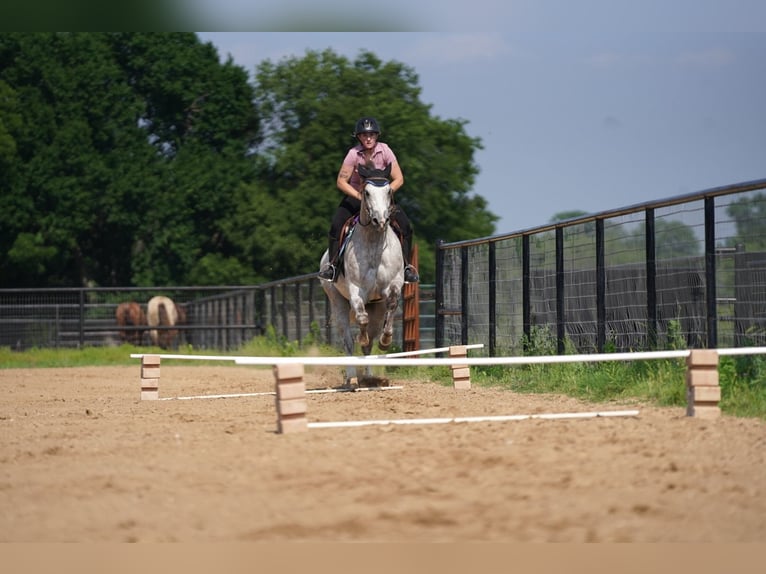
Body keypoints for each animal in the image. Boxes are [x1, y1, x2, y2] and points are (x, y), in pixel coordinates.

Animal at [320, 164, 408, 388]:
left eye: (388, 191)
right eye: (367, 192)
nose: (380, 220)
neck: (374, 242)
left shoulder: (393, 286)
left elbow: (391, 309)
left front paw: (386, 341)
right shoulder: (356, 290)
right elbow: (361, 319)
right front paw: (363, 338)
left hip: (376, 306)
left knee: (370, 338)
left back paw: (369, 377)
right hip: (338, 303)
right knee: (347, 341)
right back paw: (351, 378)